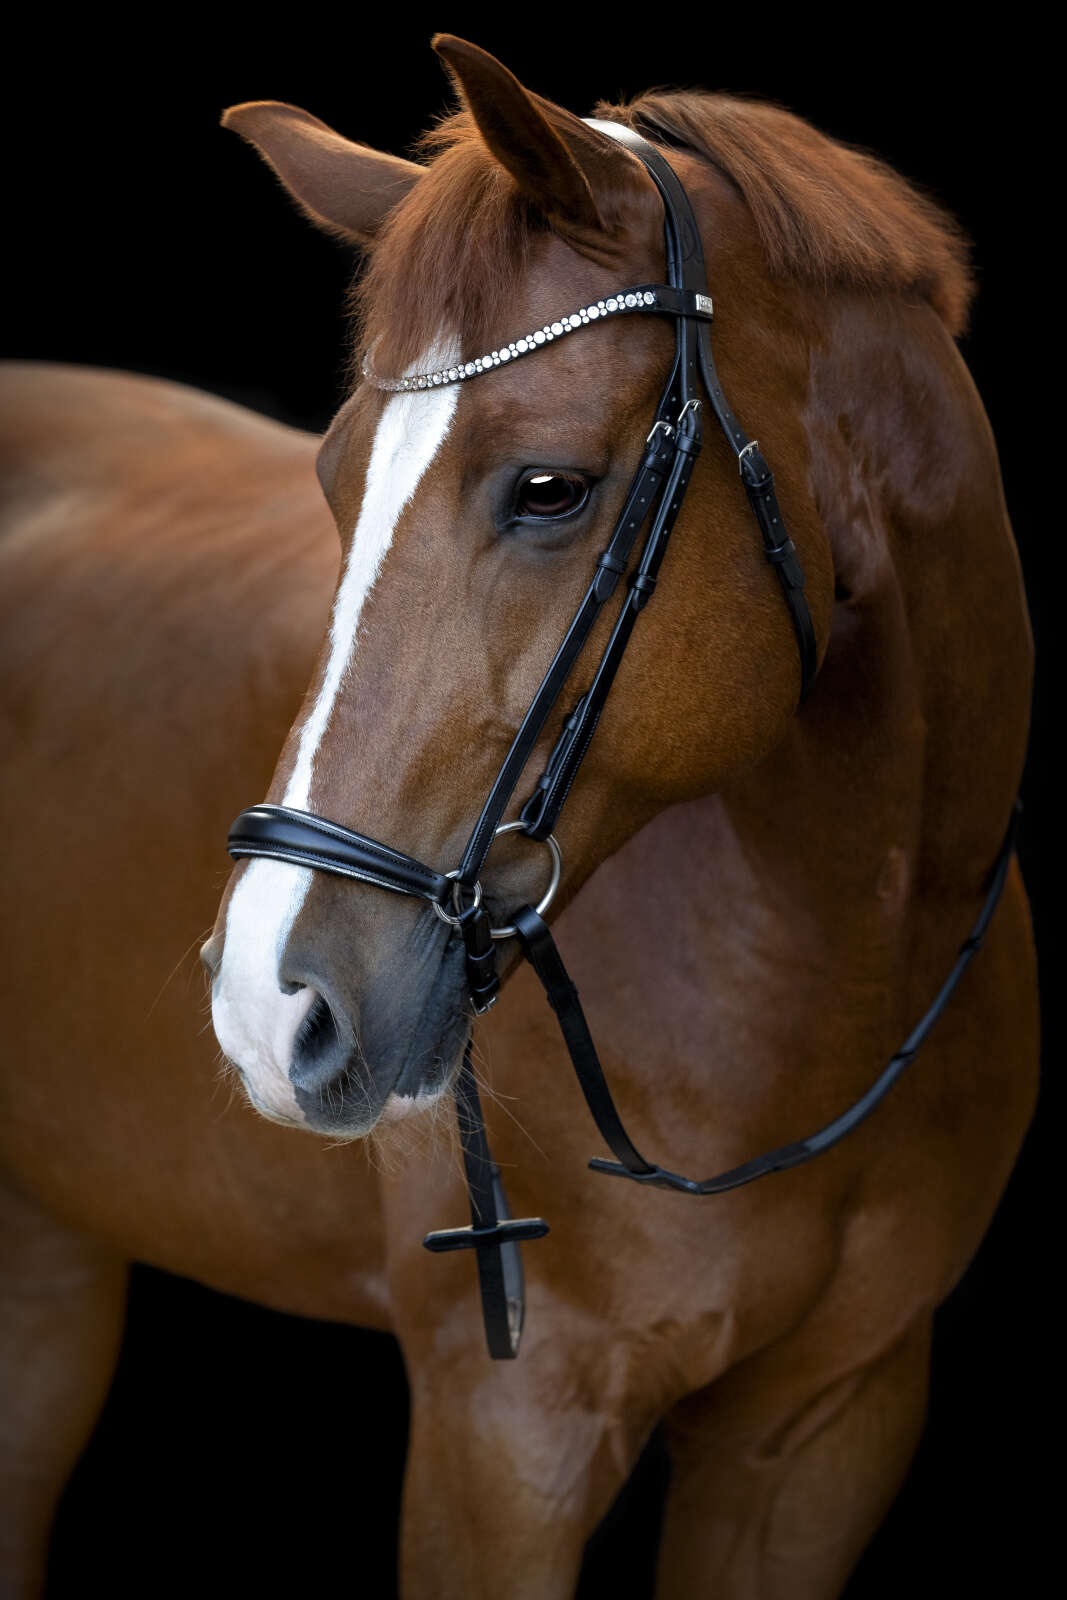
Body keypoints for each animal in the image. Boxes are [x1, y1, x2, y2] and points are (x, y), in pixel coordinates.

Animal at [0, 32, 1037, 1599]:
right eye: (332, 475)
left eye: (548, 489)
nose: (268, 1007)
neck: (837, 965)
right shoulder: (505, 1437)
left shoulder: (822, 1428)